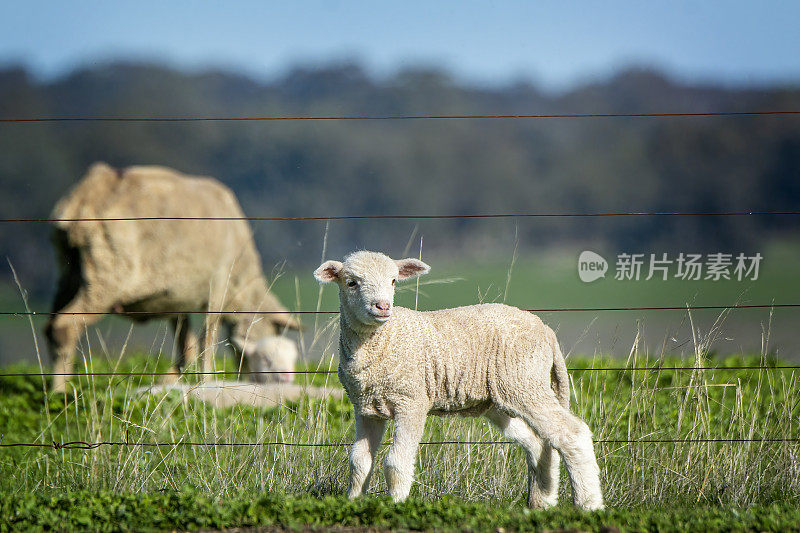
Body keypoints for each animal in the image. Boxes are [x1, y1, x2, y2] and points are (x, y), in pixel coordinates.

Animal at [47, 164, 304, 392]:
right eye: (266, 353)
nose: (250, 378)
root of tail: (84, 198)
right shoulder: (218, 284)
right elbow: (206, 341)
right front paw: (206, 381)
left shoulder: (176, 298)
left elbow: (186, 347)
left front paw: (165, 383)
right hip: (108, 273)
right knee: (64, 328)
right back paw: (60, 393)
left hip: (68, 274)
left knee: (51, 327)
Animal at [316, 251, 604, 510]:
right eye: (351, 283)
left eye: (394, 281)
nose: (383, 306)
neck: (383, 339)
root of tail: (546, 330)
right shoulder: (366, 408)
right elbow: (358, 461)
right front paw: (353, 503)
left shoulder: (411, 401)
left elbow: (396, 462)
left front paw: (396, 505)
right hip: (502, 398)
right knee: (538, 443)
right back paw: (542, 502)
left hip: (524, 381)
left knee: (572, 434)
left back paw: (589, 504)